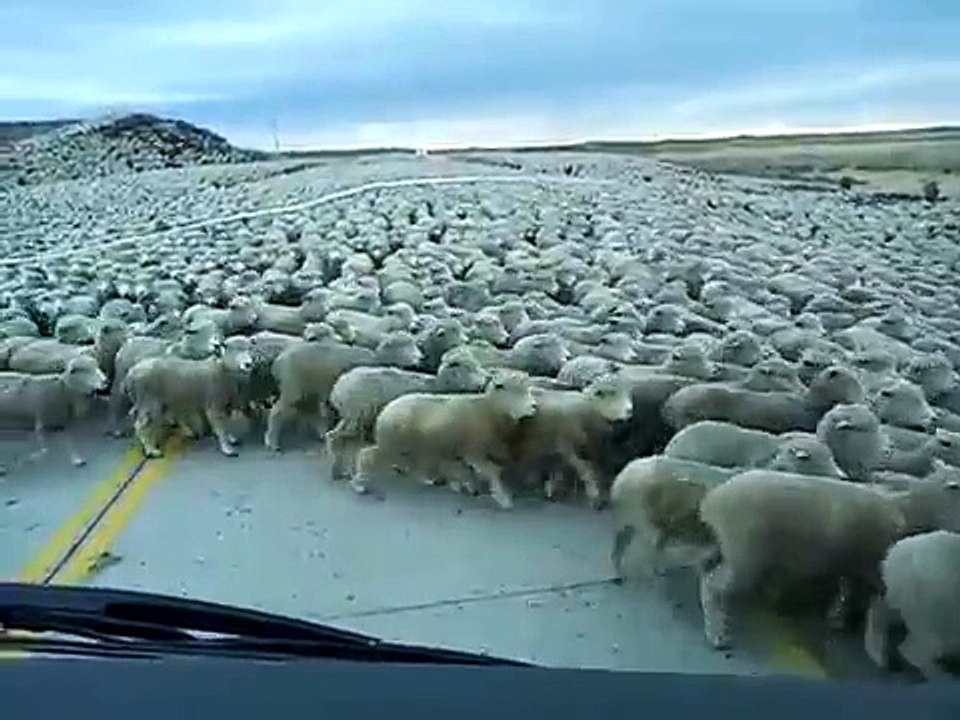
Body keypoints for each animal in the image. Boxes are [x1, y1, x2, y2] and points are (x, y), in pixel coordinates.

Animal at [124, 336, 255, 458]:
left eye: (249, 349)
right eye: (233, 350)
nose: (248, 364)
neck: (222, 370)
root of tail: (131, 374)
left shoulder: (225, 404)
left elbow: (226, 425)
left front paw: (231, 439)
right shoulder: (214, 405)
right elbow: (220, 428)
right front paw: (227, 448)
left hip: (148, 402)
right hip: (149, 402)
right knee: (141, 425)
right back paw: (151, 450)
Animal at [265, 331, 423, 451]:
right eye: (402, 345)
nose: (420, 358)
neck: (376, 359)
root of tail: (278, 361)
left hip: (308, 389)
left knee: (311, 410)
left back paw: (321, 433)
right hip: (292, 387)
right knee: (276, 412)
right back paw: (272, 442)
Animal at [325, 347, 489, 480]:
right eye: (467, 367)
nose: (485, 381)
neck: (437, 385)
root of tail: (338, 387)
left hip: (351, 417)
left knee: (334, 436)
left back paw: (339, 470)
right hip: (357, 416)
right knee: (339, 439)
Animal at [352, 369, 539, 508]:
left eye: (527, 389)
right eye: (515, 391)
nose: (534, 406)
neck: (489, 410)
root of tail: (386, 409)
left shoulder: (463, 450)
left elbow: (467, 471)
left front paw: (466, 486)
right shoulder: (474, 450)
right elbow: (491, 472)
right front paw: (503, 498)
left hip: (411, 445)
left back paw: (424, 479)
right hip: (393, 443)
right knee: (367, 456)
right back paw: (359, 485)